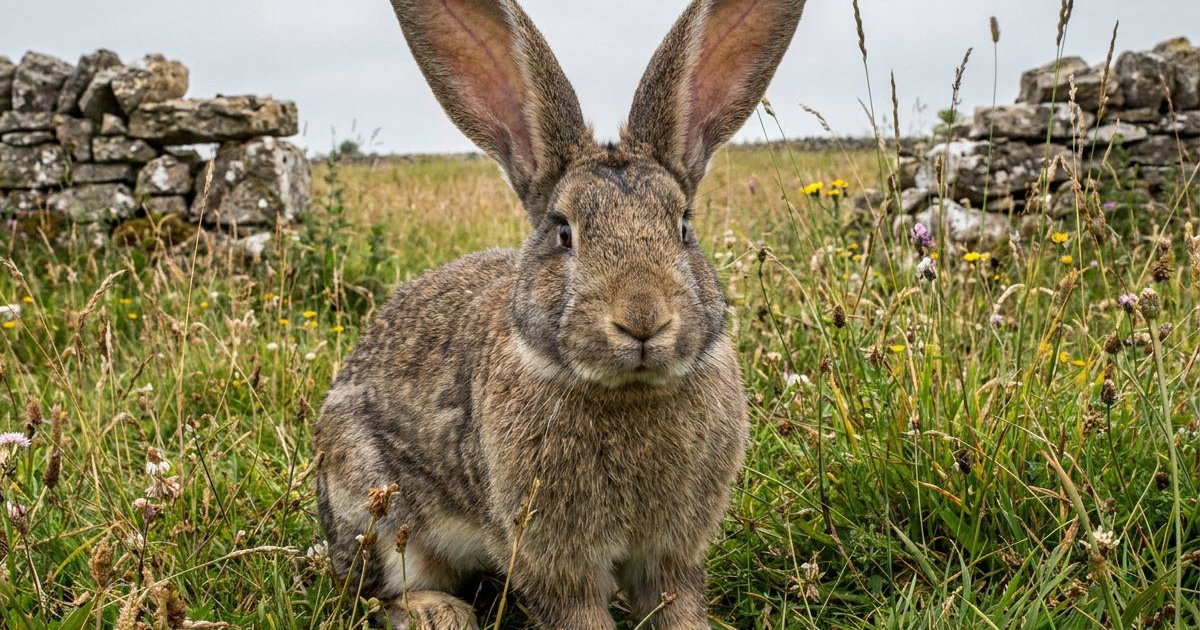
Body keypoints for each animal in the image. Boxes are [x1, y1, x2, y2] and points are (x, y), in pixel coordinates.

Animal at [314, 0, 806, 628]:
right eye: (564, 232)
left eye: (683, 227)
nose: (642, 319)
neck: (627, 391)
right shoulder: (553, 557)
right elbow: (577, 609)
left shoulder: (671, 553)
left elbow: (675, 601)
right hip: (375, 510)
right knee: (377, 592)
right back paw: (440, 612)